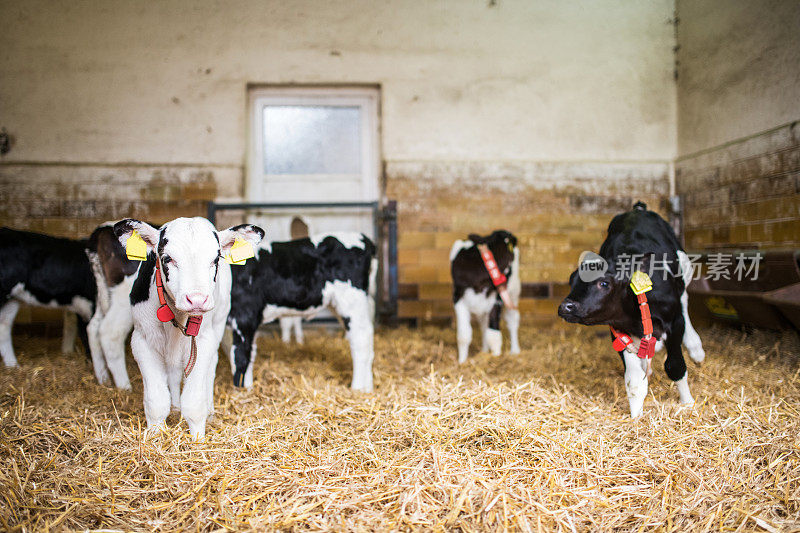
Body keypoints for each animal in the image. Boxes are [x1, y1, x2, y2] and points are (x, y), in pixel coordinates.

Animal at [114, 216, 264, 440]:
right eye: (167, 258)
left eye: (216, 259)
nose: (197, 299)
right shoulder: (142, 341)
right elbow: (157, 401)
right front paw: (155, 437)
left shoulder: (203, 341)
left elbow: (194, 403)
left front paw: (198, 439)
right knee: (174, 373)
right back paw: (176, 405)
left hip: (218, 324)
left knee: (210, 369)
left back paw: (209, 409)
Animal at [225, 233, 376, 390]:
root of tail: (364, 239)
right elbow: (249, 354)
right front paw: (248, 388)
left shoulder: (245, 316)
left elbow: (240, 356)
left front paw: (241, 390)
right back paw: (367, 388)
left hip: (351, 301)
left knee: (361, 341)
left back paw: (357, 388)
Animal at [446, 231, 520, 364]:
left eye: (509, 270)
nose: (504, 283)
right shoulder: (458, 297)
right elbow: (463, 335)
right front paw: (462, 362)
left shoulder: (497, 299)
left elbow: (494, 335)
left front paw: (496, 357)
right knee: (483, 324)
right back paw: (484, 350)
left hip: (514, 293)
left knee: (512, 319)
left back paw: (515, 350)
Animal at [556, 202, 708, 418]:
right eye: (572, 281)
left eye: (604, 283)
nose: (565, 307)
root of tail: (638, 209)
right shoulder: (618, 331)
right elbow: (634, 381)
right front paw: (636, 416)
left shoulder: (675, 321)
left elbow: (675, 366)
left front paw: (688, 402)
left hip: (684, 266)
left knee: (685, 299)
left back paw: (695, 348)